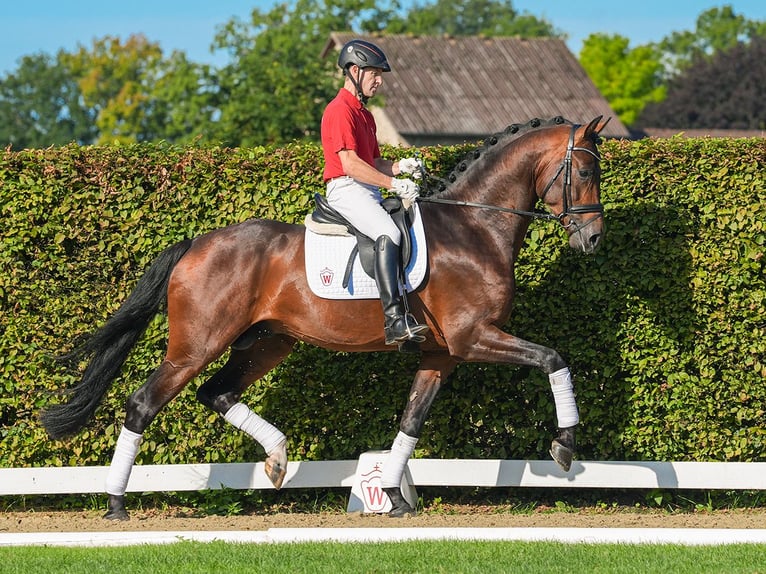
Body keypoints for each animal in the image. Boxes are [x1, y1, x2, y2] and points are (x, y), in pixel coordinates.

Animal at [42, 115, 608, 520]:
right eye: (584, 172)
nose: (594, 239)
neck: (475, 226)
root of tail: (196, 244)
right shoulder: (475, 338)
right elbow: (553, 358)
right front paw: (564, 447)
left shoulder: (441, 354)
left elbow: (411, 420)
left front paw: (392, 496)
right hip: (195, 346)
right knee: (143, 404)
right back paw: (116, 504)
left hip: (267, 342)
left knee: (217, 393)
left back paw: (276, 458)